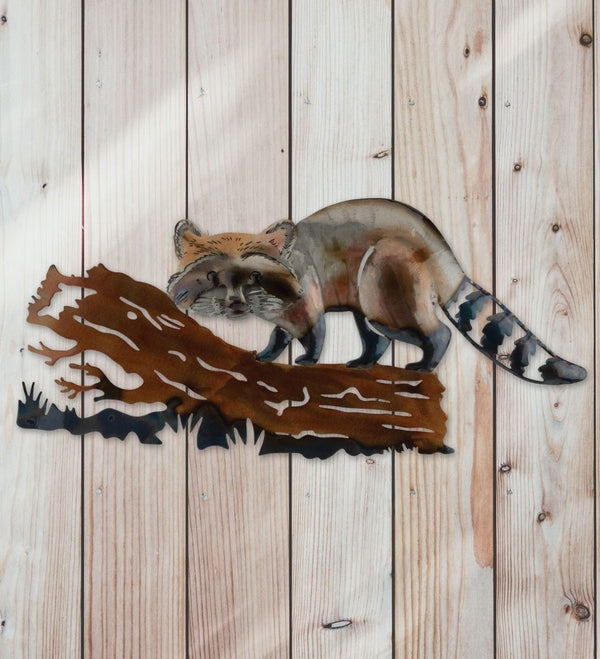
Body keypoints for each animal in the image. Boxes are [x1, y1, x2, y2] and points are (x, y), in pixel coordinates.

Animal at [167, 198, 586, 384]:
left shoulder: (305, 289)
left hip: (385, 272)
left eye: (254, 275)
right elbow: (279, 330)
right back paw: (367, 357)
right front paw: (270, 350)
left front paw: (309, 356)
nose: (234, 305)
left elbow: (311, 325)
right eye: (211, 276)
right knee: (373, 331)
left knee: (418, 326)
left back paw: (429, 358)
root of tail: (441, 248)